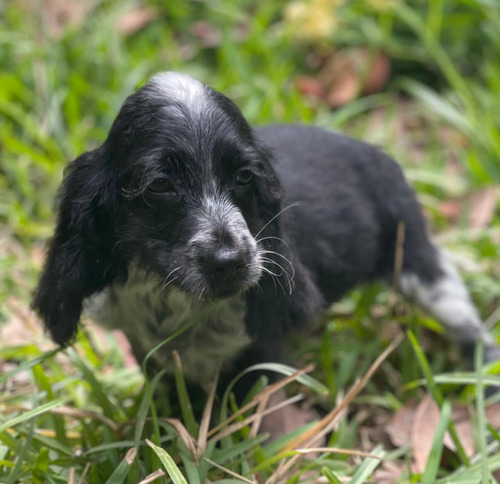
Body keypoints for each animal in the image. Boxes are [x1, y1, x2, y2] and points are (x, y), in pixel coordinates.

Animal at [32, 71, 500, 398]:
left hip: (415, 255)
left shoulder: (259, 351)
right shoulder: (145, 342)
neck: (178, 300)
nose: (231, 262)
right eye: (160, 186)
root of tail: (375, 152)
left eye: (244, 177)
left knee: (462, 316)